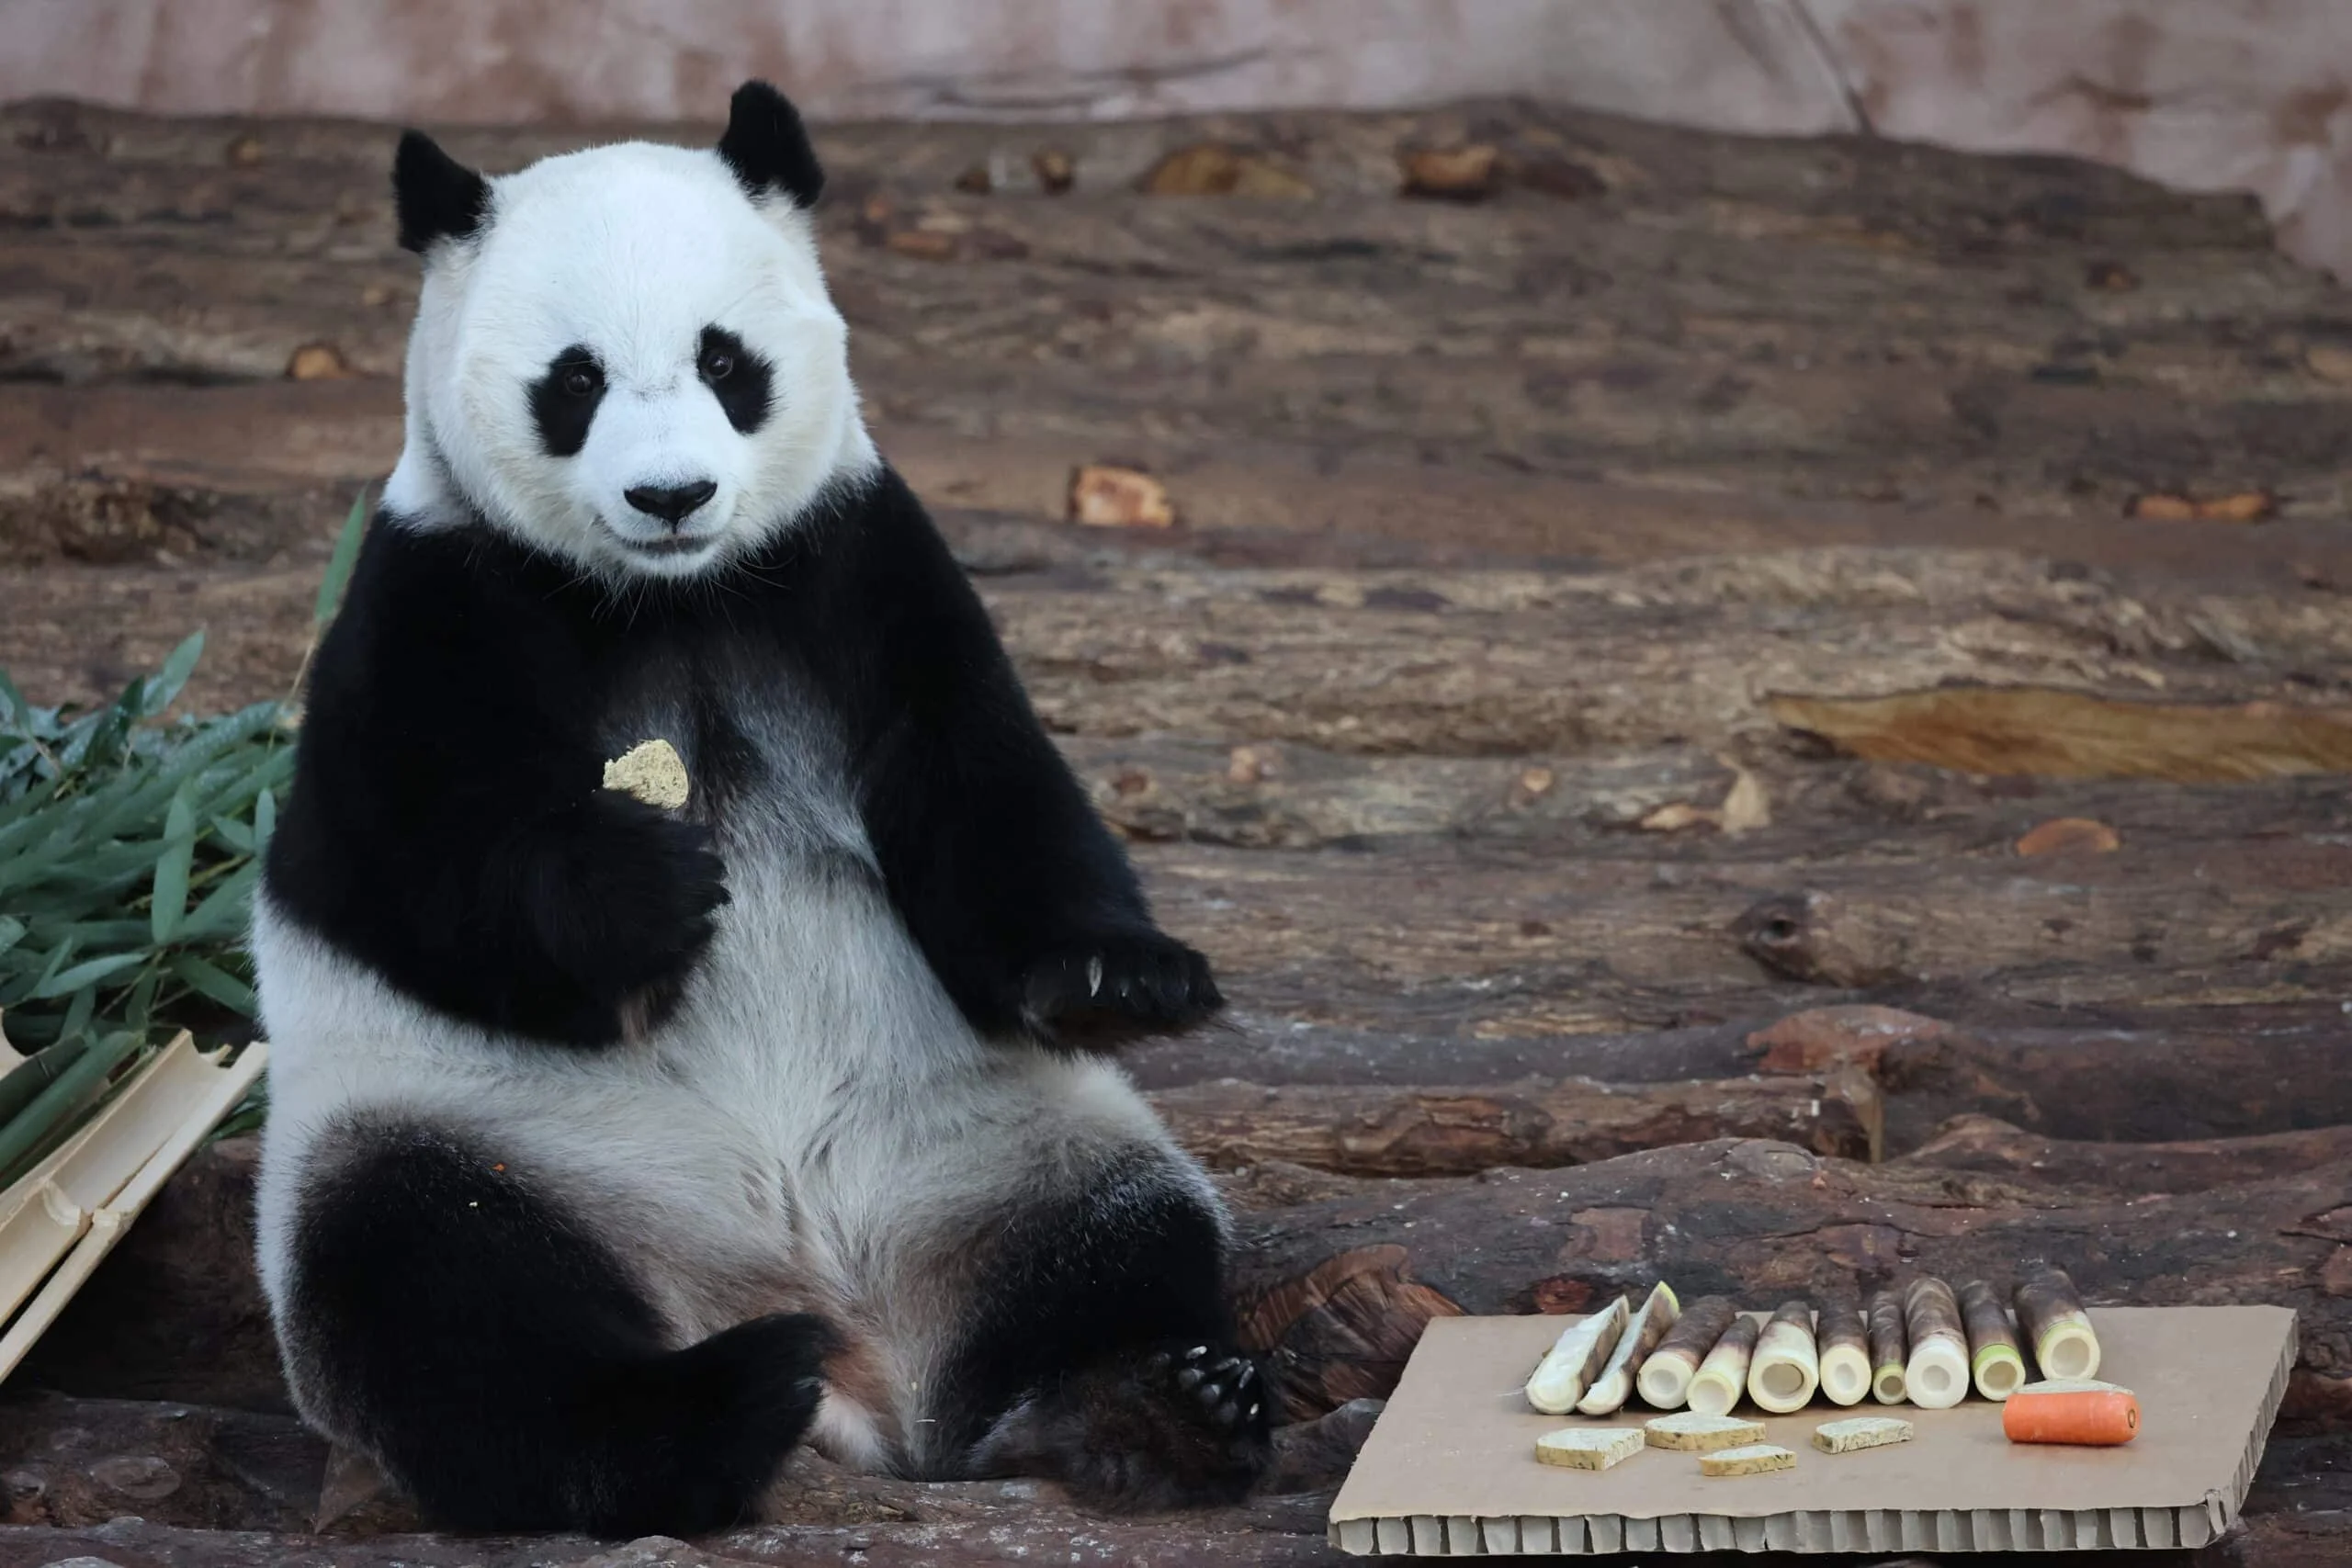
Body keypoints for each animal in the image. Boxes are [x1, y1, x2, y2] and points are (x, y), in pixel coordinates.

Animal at [250, 82, 1270, 1536]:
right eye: (573, 382)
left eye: (726, 362)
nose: (670, 494)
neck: (675, 598)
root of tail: (856, 1356)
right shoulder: (435, 594)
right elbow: (392, 862)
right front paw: (643, 888)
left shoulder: (854, 561)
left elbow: (984, 786)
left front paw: (1118, 975)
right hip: (483, 1134)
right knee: (440, 1296)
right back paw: (704, 1417)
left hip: (1007, 1145)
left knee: (1126, 1242)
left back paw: (1151, 1404)